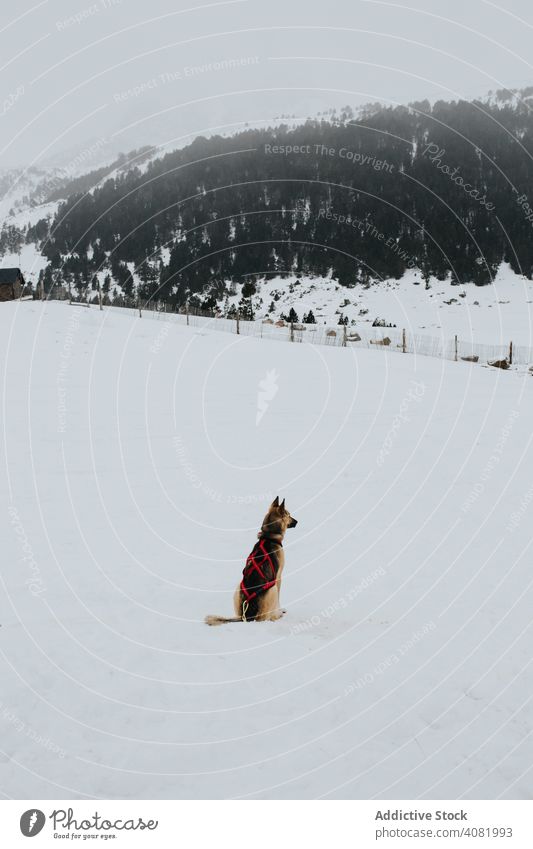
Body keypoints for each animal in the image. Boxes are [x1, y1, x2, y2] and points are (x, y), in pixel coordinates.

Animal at [204, 494, 298, 628]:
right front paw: (280, 610)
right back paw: (277, 615)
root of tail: (248, 617)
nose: (297, 521)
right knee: (268, 616)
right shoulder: (279, 577)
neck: (269, 536)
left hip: (238, 589)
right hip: (272, 588)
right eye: (289, 515)